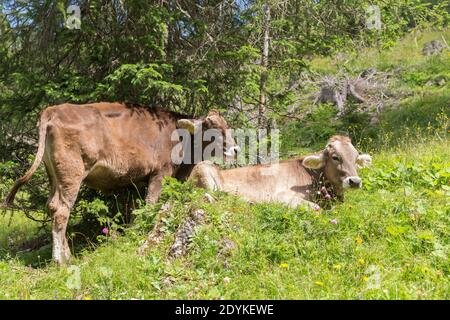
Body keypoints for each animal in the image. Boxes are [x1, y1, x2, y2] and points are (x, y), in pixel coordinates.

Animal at [3, 102, 239, 264]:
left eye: (227, 125)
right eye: (211, 126)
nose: (236, 149)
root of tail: (54, 110)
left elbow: (138, 208)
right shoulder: (160, 174)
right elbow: (150, 204)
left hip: (55, 176)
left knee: (52, 207)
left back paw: (68, 256)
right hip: (71, 174)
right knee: (62, 212)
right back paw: (60, 261)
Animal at [188, 136, 370, 209]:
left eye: (355, 158)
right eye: (335, 157)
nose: (355, 181)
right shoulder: (280, 196)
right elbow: (316, 208)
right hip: (204, 169)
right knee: (210, 197)